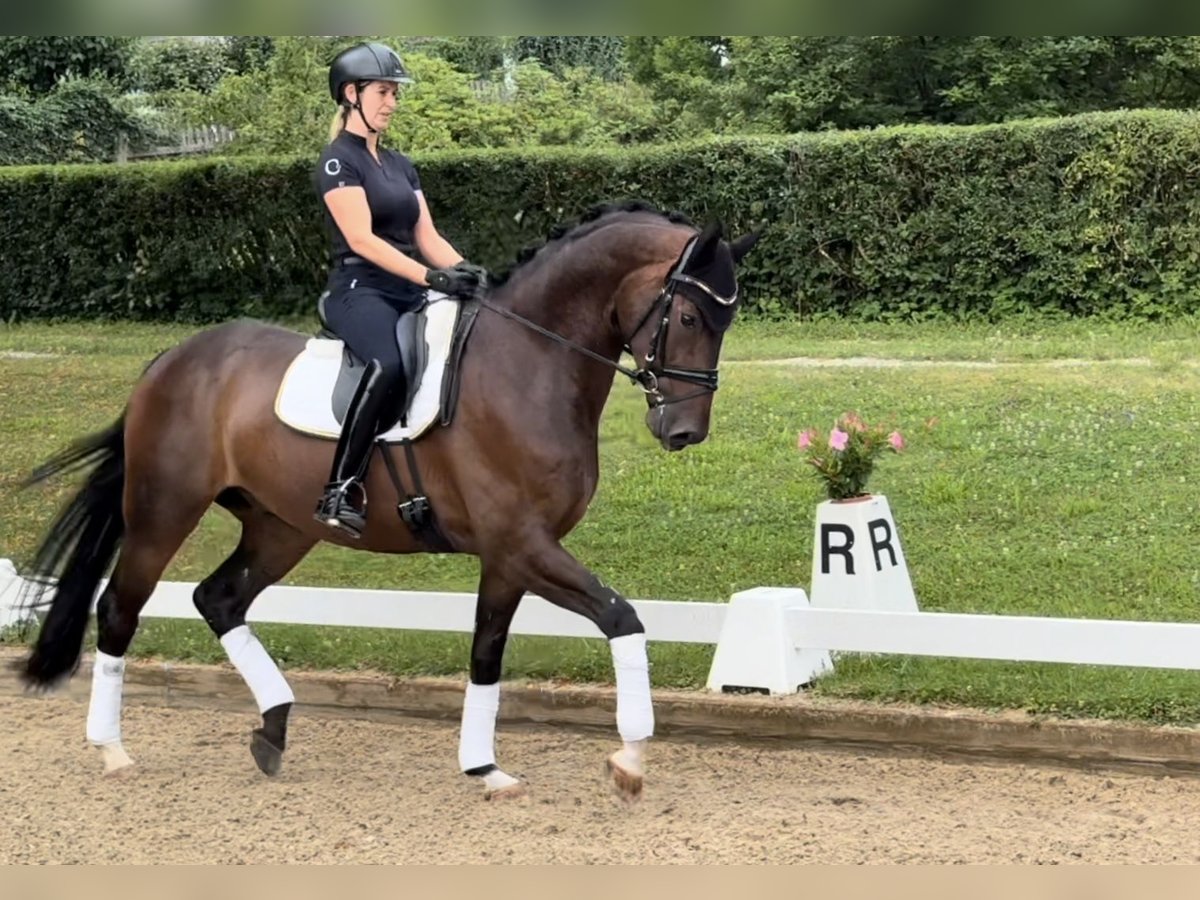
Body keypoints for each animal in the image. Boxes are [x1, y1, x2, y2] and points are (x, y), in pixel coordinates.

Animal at [14, 199, 758, 801]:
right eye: (688, 313)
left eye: (729, 320)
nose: (684, 431)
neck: (528, 365)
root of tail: (171, 361)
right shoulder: (524, 544)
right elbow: (622, 618)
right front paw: (630, 759)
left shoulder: (509, 555)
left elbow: (486, 653)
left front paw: (484, 768)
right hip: (163, 509)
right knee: (120, 607)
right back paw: (113, 750)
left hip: (281, 526)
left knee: (218, 598)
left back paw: (273, 730)